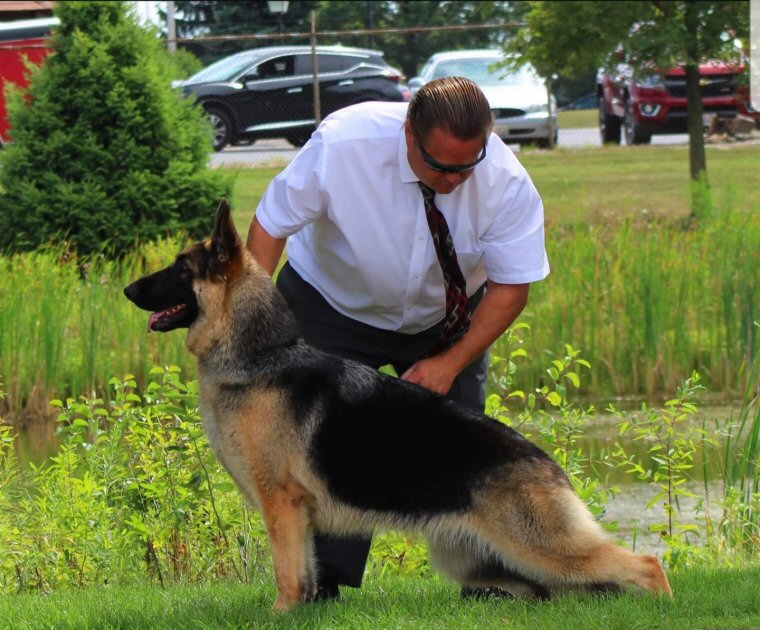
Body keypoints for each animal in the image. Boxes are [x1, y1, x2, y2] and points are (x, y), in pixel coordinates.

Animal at [123, 202, 672, 612]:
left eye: (179, 269)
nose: (127, 289)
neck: (260, 357)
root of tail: (549, 464)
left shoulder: (282, 504)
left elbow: (285, 574)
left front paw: (280, 615)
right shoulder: (297, 515)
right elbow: (304, 572)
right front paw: (304, 611)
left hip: (540, 547)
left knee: (647, 564)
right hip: (476, 558)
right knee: (549, 590)